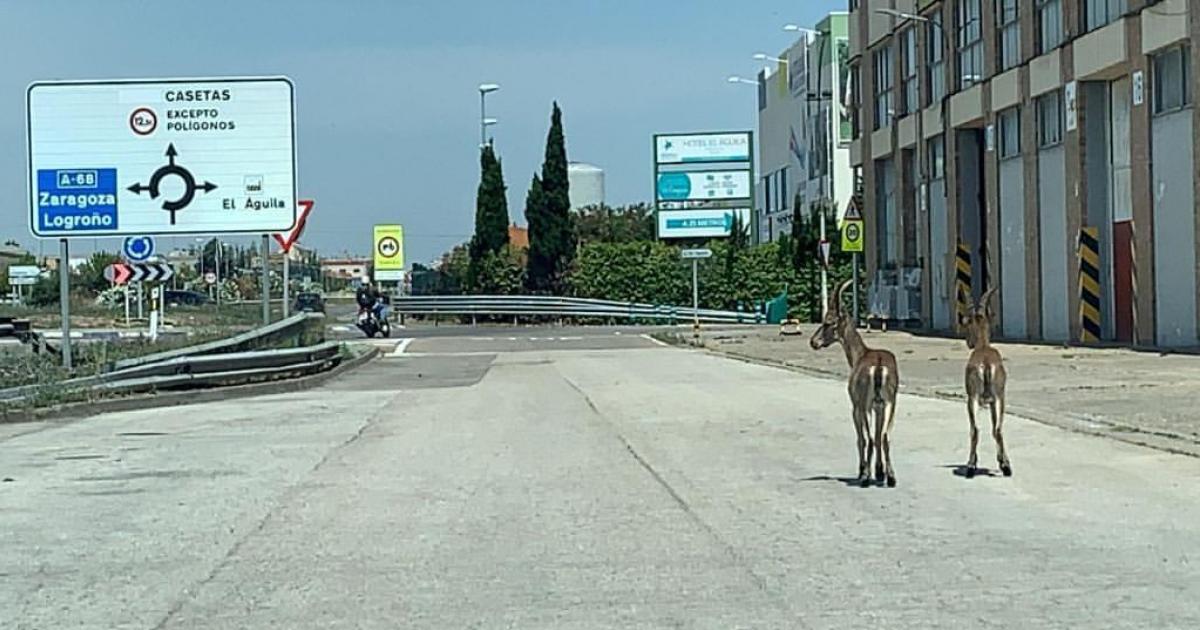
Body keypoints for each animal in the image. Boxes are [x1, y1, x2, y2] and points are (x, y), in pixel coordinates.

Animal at [806, 278, 902, 487]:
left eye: (828, 321)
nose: (814, 342)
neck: (859, 355)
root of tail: (879, 366)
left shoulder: (855, 405)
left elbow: (862, 438)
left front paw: (864, 471)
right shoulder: (878, 406)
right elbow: (878, 435)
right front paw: (879, 472)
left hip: (864, 403)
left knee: (867, 438)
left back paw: (865, 477)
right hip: (889, 401)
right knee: (884, 436)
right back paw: (891, 477)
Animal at [955, 285, 1012, 477]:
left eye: (967, 323)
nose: (968, 342)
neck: (983, 346)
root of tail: (986, 364)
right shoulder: (994, 400)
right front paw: (1001, 462)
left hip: (973, 398)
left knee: (976, 429)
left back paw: (971, 466)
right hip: (1000, 397)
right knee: (998, 429)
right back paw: (1007, 467)